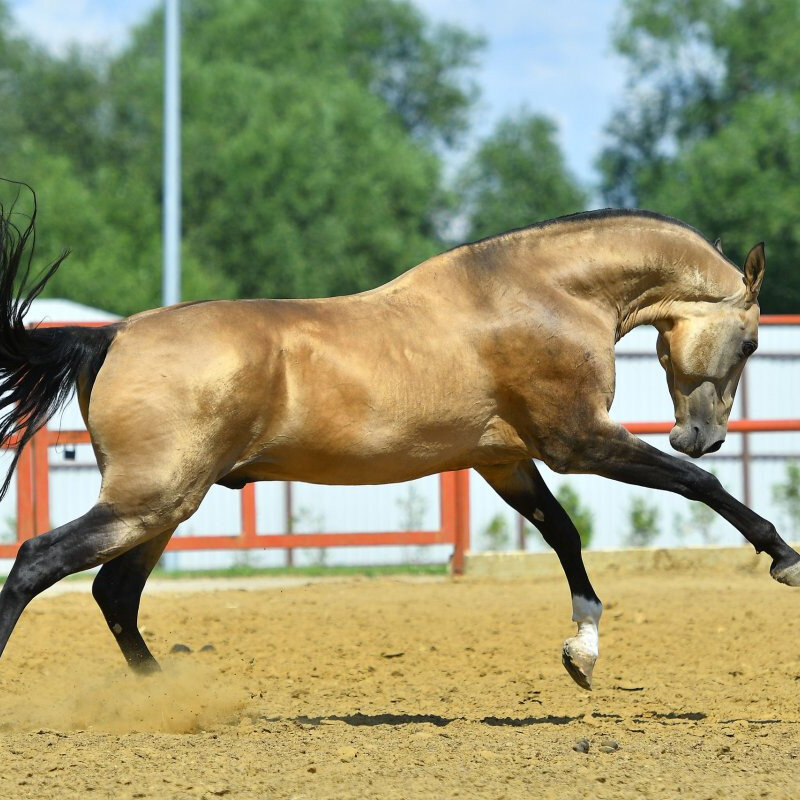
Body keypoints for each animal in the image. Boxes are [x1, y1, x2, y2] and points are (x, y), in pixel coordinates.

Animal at [1, 197, 800, 692]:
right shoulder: (578, 441)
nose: (702, 436)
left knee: (113, 593)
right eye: (754, 341)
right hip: (151, 501)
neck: (545, 294)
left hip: (160, 508)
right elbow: (699, 488)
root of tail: (112, 334)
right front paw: (784, 558)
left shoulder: (504, 459)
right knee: (39, 562)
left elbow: (564, 534)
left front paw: (582, 651)